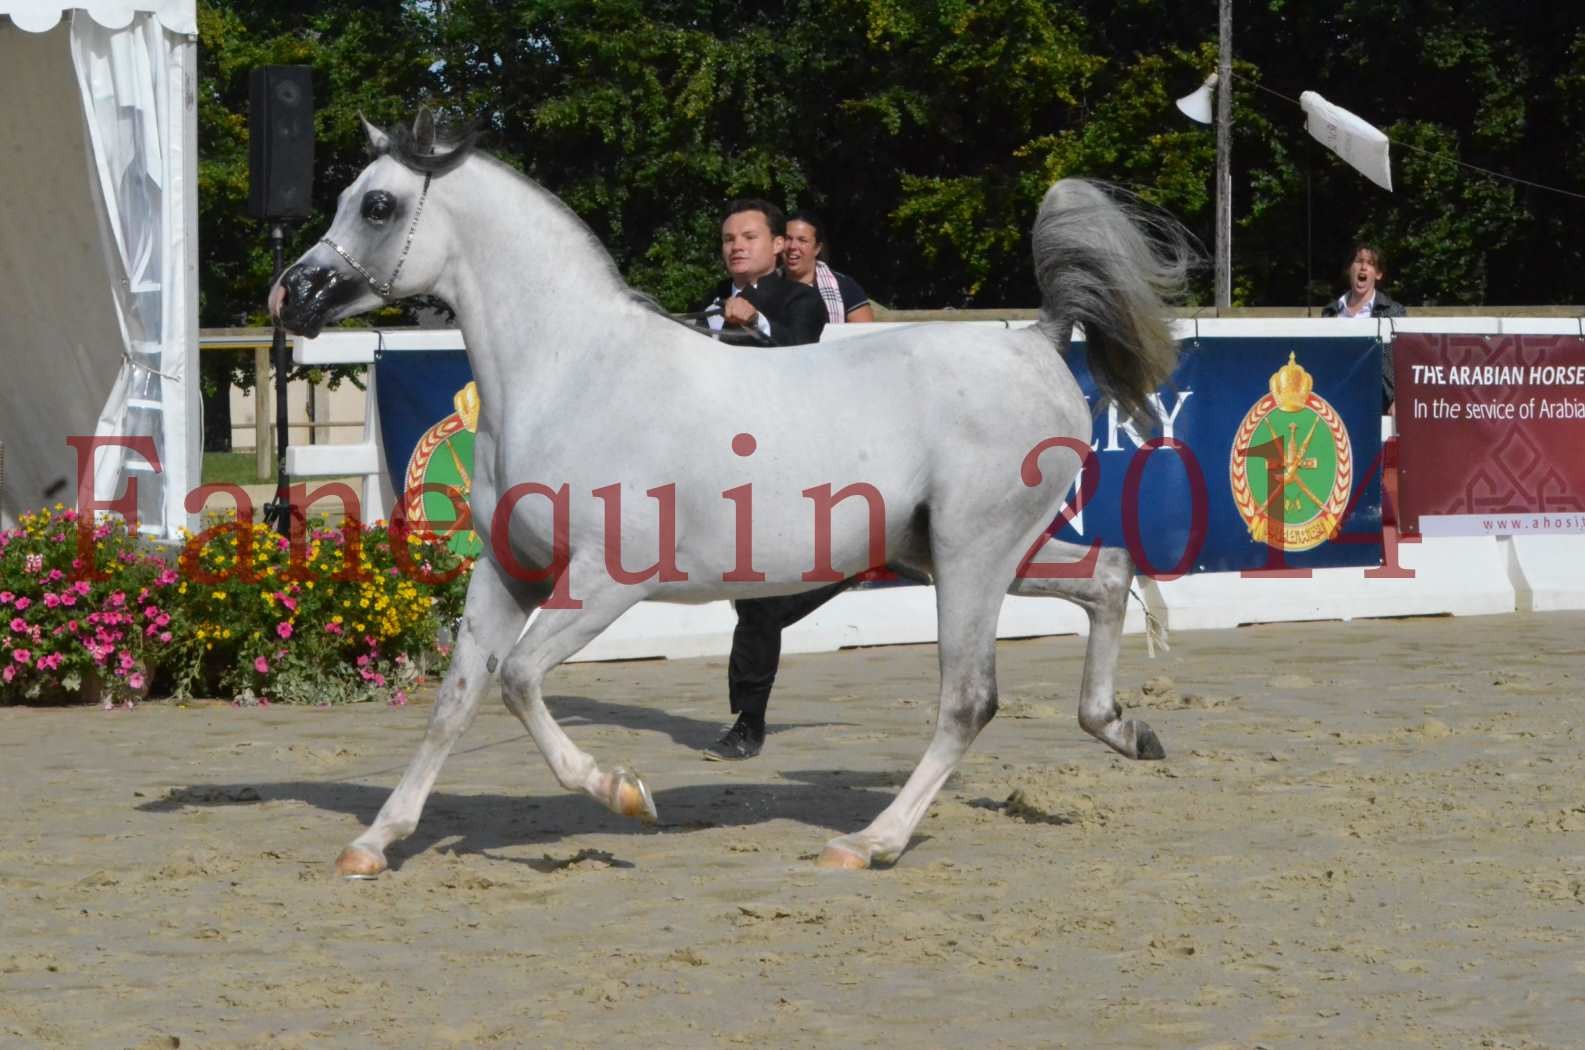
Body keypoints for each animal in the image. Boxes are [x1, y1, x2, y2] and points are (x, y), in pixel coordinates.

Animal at [269, 111, 1191, 875]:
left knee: (968, 700)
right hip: (963, 551)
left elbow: (520, 679)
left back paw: (868, 844)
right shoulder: (510, 572)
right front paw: (373, 843)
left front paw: (623, 794)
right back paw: (1126, 730)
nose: (291, 295)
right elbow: (456, 700)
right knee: (1108, 574)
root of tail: (1035, 340)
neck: (570, 374)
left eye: (377, 205)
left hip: (972, 555)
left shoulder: (608, 580)